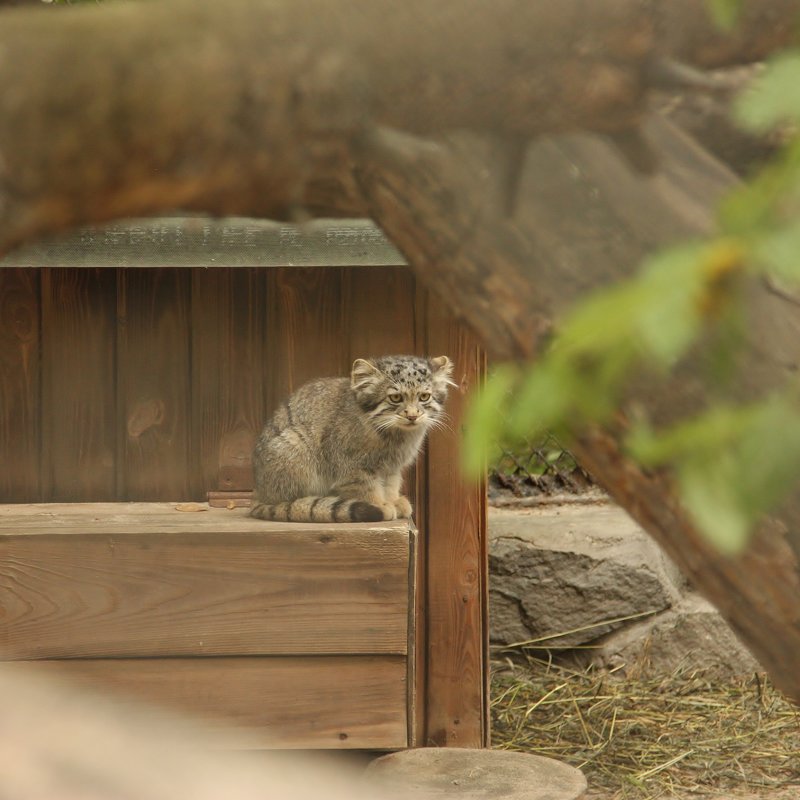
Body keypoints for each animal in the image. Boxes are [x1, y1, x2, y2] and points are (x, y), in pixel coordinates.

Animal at [250, 354, 454, 520]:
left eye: (424, 396)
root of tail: (259, 492)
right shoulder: (351, 468)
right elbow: (366, 488)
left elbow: (390, 485)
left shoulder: (391, 467)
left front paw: (393, 500)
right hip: (295, 445)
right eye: (395, 398)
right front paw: (379, 505)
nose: (412, 416)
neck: (395, 434)